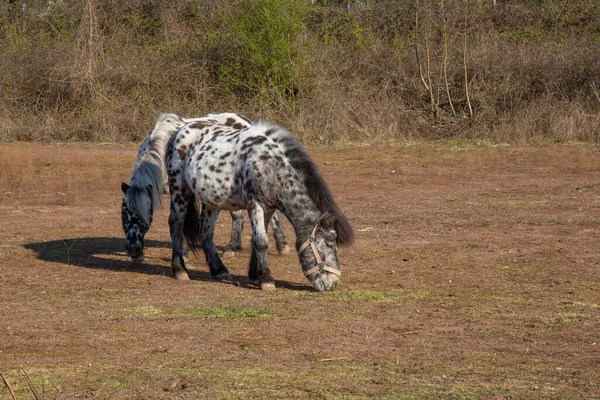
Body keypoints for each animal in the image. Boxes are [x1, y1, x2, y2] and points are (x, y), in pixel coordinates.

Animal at [120, 113, 290, 262]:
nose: (133, 249)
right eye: (124, 215)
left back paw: (276, 245)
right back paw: (235, 247)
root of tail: (245, 121)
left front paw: (184, 254)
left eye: (144, 215)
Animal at [166, 119, 354, 290]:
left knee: (206, 230)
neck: (271, 165)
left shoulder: (269, 209)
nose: (333, 284)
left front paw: (255, 275)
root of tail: (178, 132)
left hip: (211, 200)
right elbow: (261, 241)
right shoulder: (254, 204)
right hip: (179, 191)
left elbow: (257, 239)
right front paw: (266, 279)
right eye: (330, 244)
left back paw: (219, 270)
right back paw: (180, 270)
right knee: (176, 224)